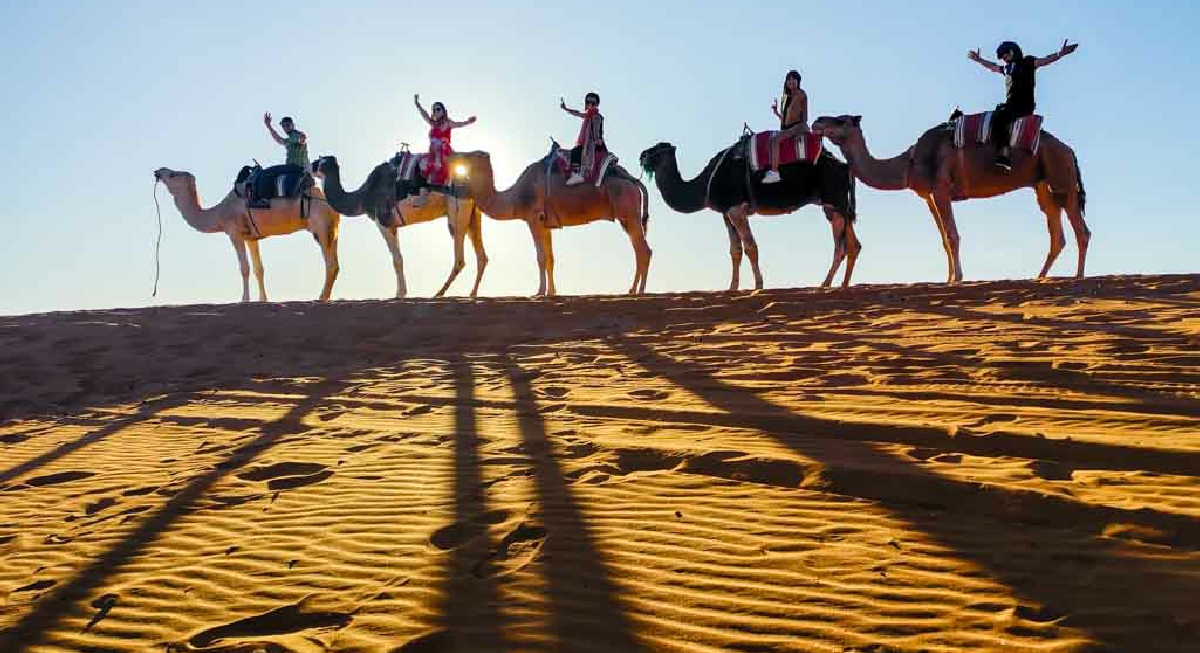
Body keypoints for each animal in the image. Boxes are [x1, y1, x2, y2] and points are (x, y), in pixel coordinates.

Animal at [154, 168, 340, 301]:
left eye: (172, 174)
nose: (158, 171)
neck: (219, 213)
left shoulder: (234, 233)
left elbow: (244, 268)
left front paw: (244, 299)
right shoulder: (251, 237)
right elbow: (259, 269)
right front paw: (263, 300)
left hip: (320, 224)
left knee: (330, 264)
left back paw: (322, 298)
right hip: (332, 229)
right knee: (335, 263)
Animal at [309, 156, 487, 298]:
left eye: (318, 162)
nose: (307, 167)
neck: (364, 195)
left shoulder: (383, 221)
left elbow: (396, 259)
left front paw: (399, 294)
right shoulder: (393, 225)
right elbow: (398, 258)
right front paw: (401, 292)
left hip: (456, 211)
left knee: (460, 259)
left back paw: (439, 293)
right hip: (473, 216)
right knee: (482, 256)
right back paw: (472, 293)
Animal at [453, 150, 652, 295]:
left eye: (469, 155)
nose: (454, 155)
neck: (516, 197)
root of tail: (634, 182)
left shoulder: (533, 218)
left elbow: (541, 257)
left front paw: (539, 292)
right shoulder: (545, 224)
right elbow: (550, 258)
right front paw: (551, 292)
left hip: (628, 210)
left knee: (644, 250)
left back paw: (640, 290)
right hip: (627, 217)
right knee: (639, 249)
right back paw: (632, 289)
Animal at [643, 141, 859, 289]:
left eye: (656, 150)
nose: (641, 155)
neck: (706, 182)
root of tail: (845, 167)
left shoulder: (736, 209)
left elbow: (750, 247)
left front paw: (758, 285)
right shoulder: (726, 212)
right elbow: (735, 251)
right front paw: (732, 287)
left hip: (834, 201)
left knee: (840, 247)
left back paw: (825, 284)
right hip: (840, 205)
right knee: (853, 245)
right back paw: (844, 284)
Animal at [811, 115, 1094, 283]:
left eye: (842, 120)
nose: (817, 122)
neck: (909, 162)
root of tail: (1070, 150)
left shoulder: (942, 188)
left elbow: (952, 235)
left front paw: (957, 278)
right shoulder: (929, 195)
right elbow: (945, 239)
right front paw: (948, 277)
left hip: (1062, 177)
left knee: (1081, 230)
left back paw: (1078, 277)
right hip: (1042, 184)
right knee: (1056, 229)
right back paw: (1040, 277)